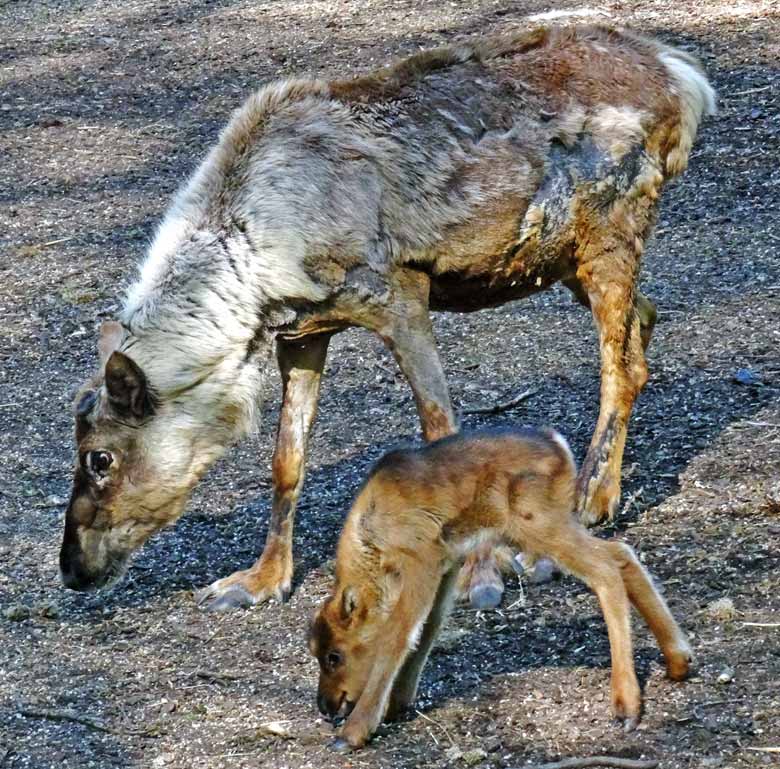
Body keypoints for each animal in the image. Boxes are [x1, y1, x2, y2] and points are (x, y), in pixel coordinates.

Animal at [308, 432, 692, 752]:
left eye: (334, 656)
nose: (326, 706)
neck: (372, 544)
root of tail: (560, 447)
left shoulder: (421, 560)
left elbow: (398, 636)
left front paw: (353, 732)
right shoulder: (447, 563)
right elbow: (429, 628)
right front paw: (396, 704)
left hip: (536, 525)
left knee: (606, 570)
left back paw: (626, 705)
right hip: (549, 525)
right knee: (622, 554)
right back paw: (678, 660)